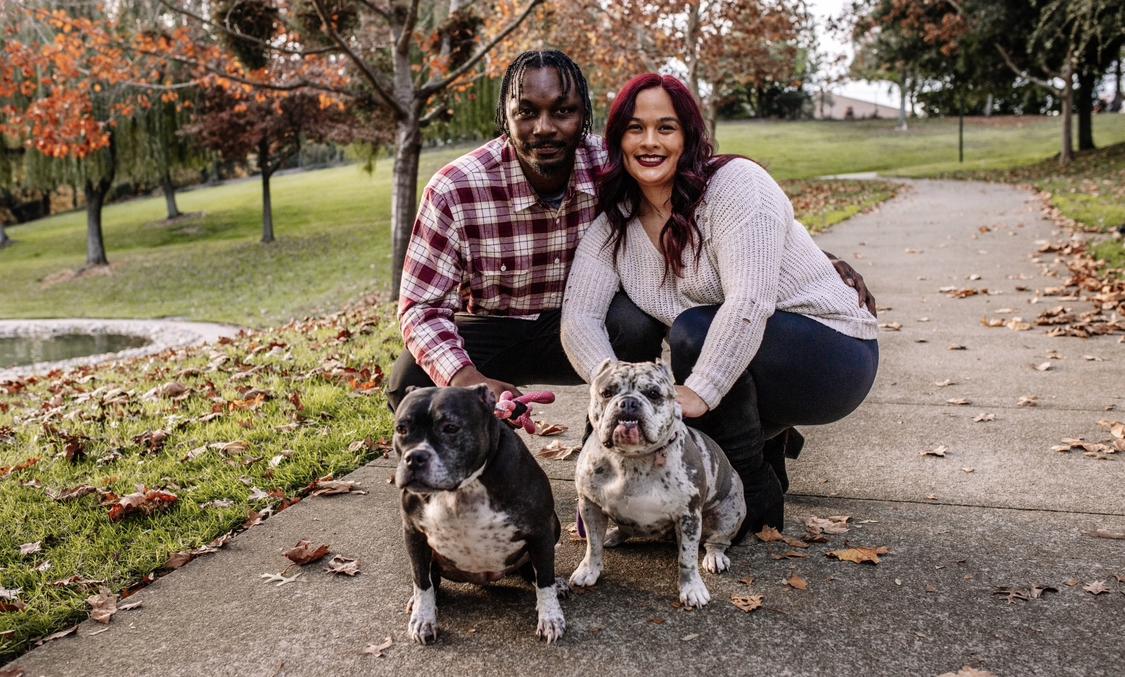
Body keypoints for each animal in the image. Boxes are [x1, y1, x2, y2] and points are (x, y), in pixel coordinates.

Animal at [393, 385, 566, 644]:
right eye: (401, 429)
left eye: (451, 428)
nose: (414, 457)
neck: (462, 488)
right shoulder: (413, 533)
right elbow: (421, 581)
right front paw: (422, 618)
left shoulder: (540, 530)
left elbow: (545, 580)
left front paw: (551, 618)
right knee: (431, 579)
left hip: (553, 527)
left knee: (536, 571)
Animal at [569, 359, 745, 608]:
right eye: (607, 393)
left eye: (653, 394)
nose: (628, 402)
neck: (632, 459)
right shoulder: (589, 506)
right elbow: (593, 544)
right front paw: (588, 570)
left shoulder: (689, 516)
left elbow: (687, 557)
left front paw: (692, 588)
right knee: (622, 530)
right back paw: (612, 535)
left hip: (729, 513)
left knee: (717, 540)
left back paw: (715, 557)